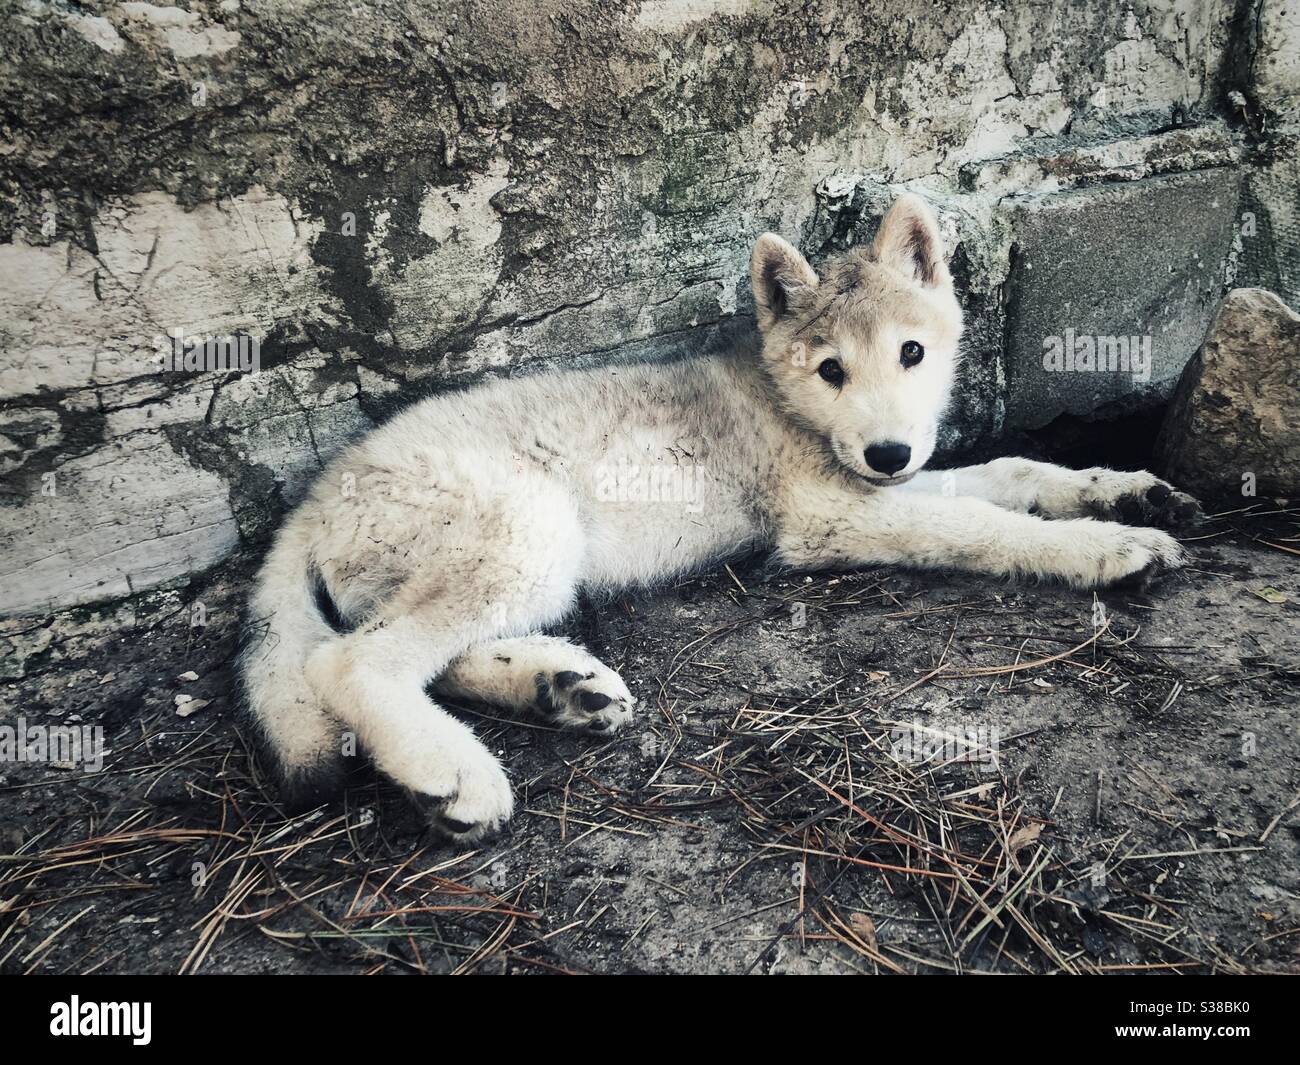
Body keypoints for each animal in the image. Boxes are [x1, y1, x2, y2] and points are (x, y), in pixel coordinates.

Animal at [240, 194, 1199, 841]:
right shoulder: (830, 519)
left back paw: (561, 686)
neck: (783, 403)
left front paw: (1124, 490)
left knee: (431, 651)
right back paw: (452, 769)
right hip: (527, 526)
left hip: (525, 560)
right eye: (830, 369)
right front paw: (1104, 546)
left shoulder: (881, 485)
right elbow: (989, 530)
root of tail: (317, 493)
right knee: (349, 662)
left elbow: (1012, 471)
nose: (889, 451)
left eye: (912, 352)